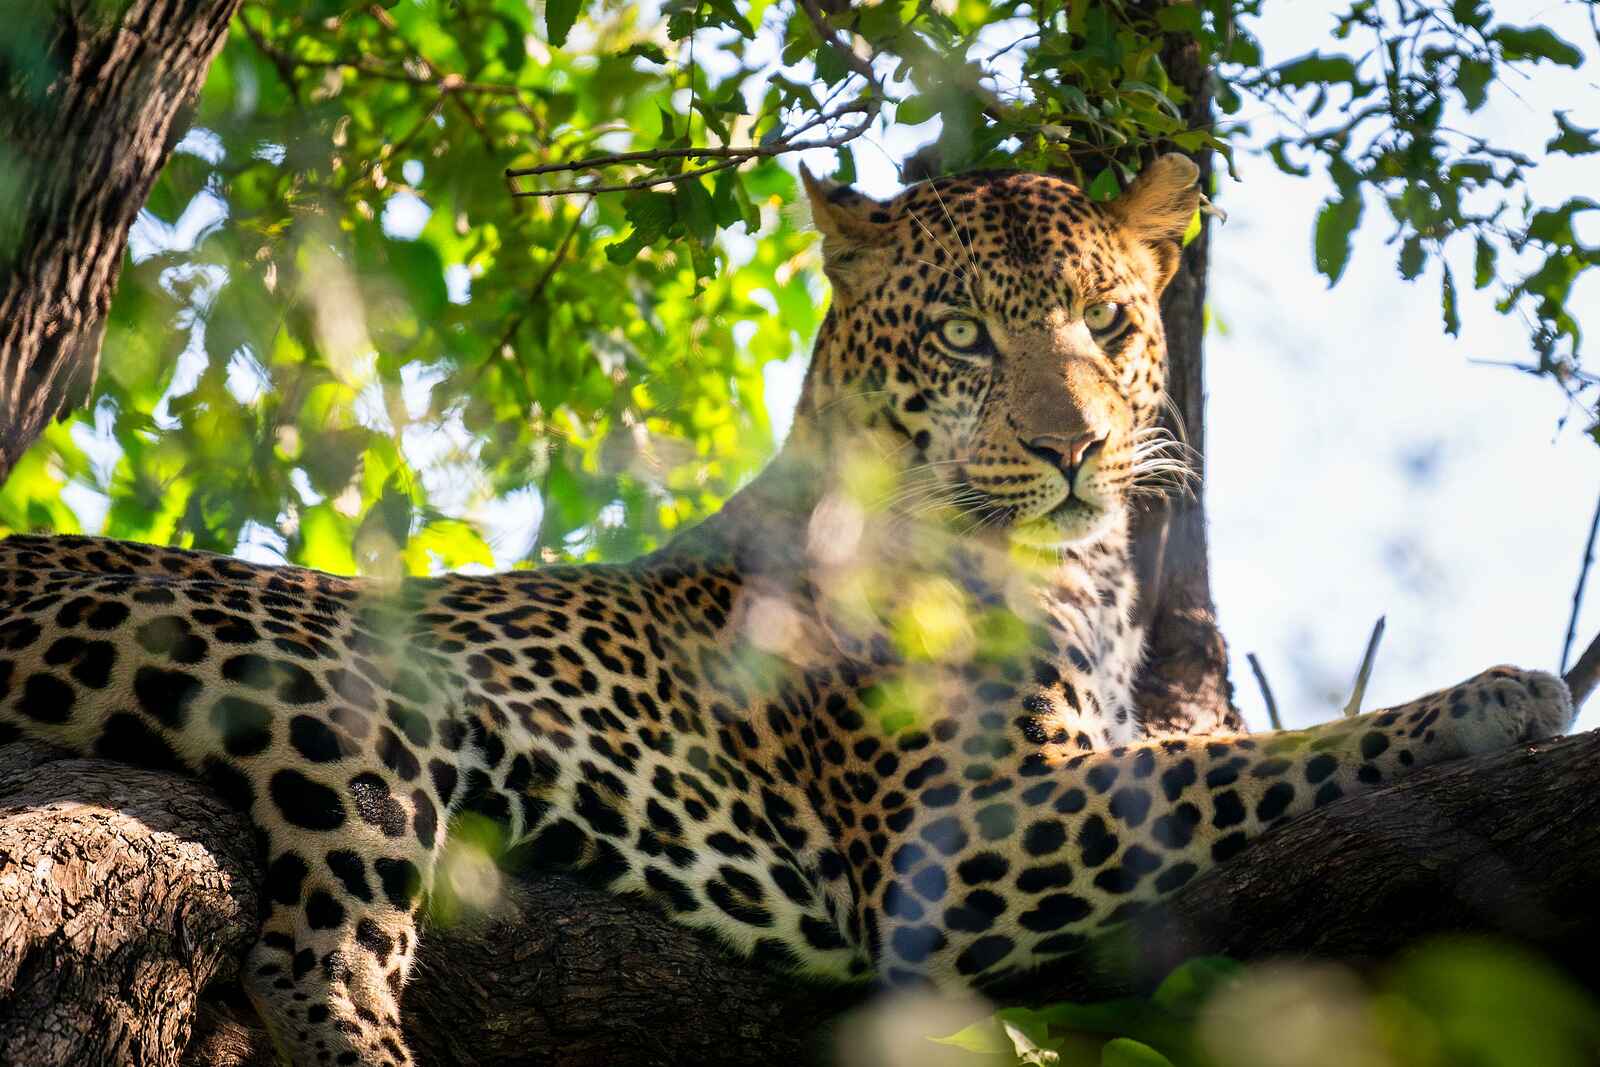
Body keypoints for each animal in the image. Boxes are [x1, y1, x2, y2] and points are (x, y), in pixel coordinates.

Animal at [0, 154, 1573, 1066]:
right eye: (965, 334)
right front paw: (1493, 696)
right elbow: (1252, 758)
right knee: (316, 957)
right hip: (340, 695)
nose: (1072, 446)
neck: (1070, 577)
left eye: (1111, 324)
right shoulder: (960, 837)